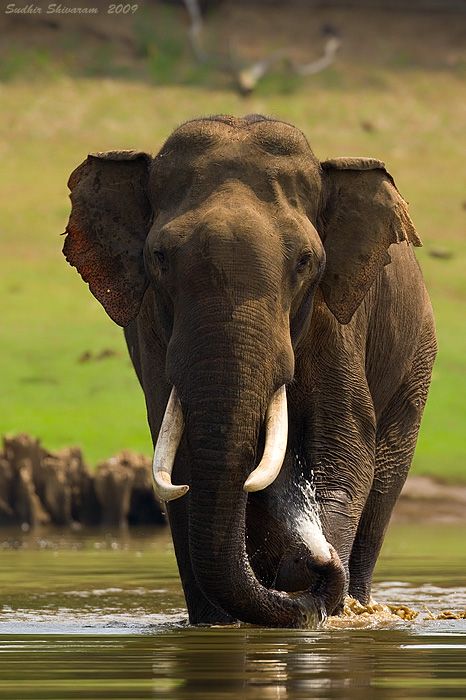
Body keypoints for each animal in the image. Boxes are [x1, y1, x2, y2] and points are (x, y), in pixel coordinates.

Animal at [62, 115, 436, 628]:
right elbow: (182, 462)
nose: (315, 561)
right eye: (160, 258)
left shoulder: (336, 320)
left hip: (416, 366)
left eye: (305, 261)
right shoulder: (152, 329)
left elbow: (343, 447)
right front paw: (222, 623)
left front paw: (305, 573)